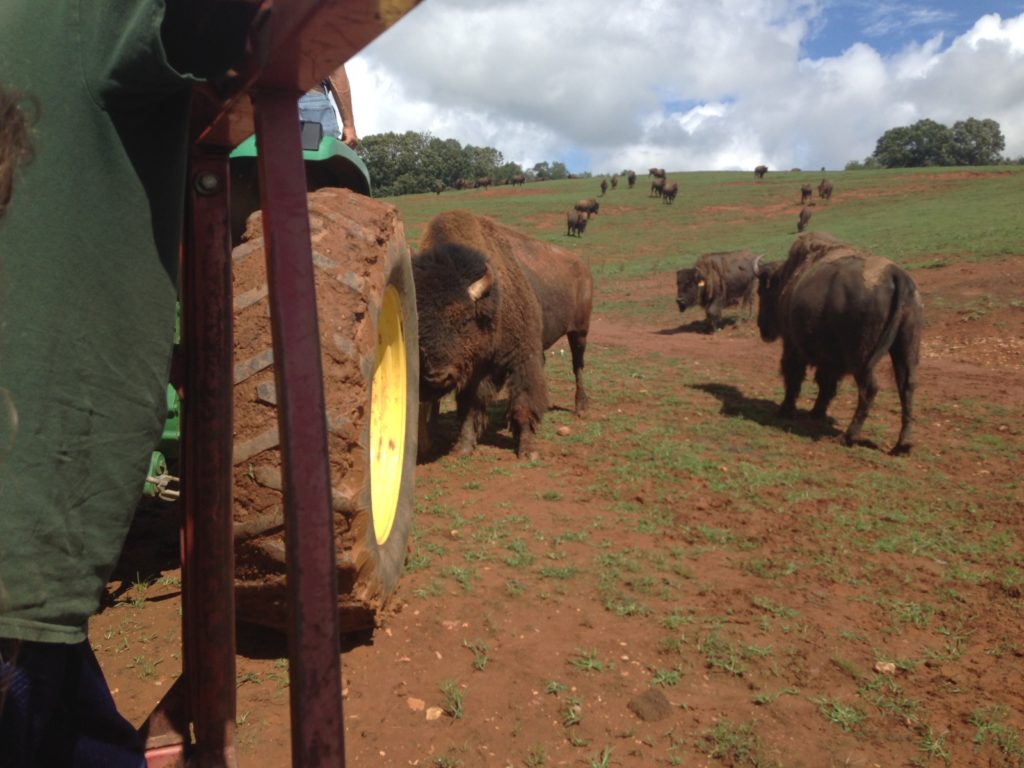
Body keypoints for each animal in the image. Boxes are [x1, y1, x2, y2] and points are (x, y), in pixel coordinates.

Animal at [413, 210, 593, 460]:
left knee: (578, 367)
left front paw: (527, 451)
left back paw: (581, 408)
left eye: (464, 320)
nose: (438, 376)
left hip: (579, 332)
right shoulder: (475, 371)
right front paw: (464, 447)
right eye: (419, 328)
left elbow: (523, 403)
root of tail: (581, 266)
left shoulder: (522, 358)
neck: (492, 303)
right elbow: (469, 408)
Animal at [757, 231, 925, 454]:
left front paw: (786, 410)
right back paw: (903, 445)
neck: (788, 279)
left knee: (869, 388)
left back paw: (848, 436)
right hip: (905, 348)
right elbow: (825, 384)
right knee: (907, 386)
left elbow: (794, 377)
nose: (762, 328)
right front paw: (816, 412)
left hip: (861, 359)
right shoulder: (831, 360)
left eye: (761, 292)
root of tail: (895, 276)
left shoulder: (793, 347)